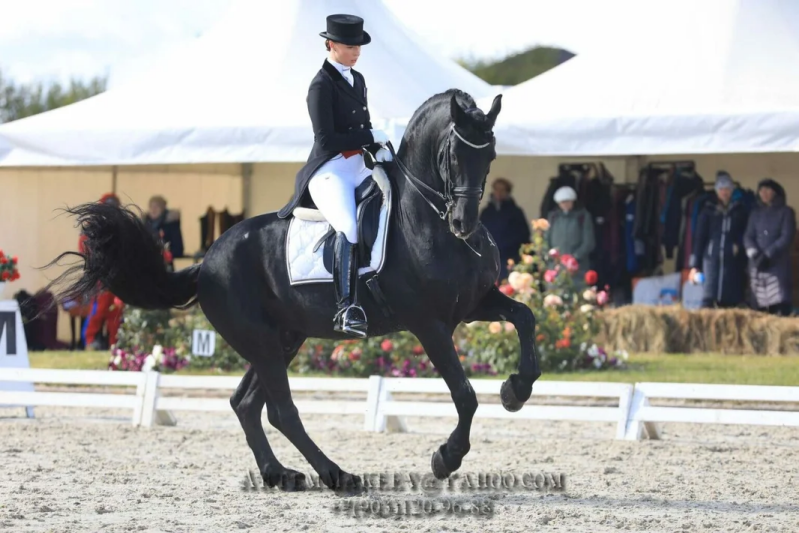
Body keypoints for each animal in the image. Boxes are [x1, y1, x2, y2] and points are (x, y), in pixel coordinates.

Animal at [44, 89, 541, 495]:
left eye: (490, 154)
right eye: (452, 155)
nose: (464, 224)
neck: (426, 219)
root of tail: (207, 261)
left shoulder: (473, 304)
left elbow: (525, 317)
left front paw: (515, 390)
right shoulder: (429, 324)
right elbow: (465, 394)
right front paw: (445, 458)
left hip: (283, 338)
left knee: (246, 404)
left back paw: (280, 475)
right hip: (262, 341)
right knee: (280, 410)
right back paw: (338, 476)